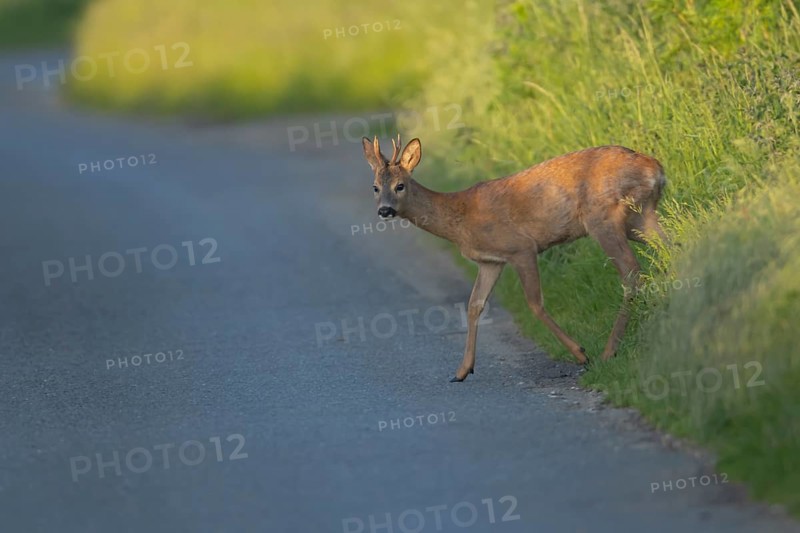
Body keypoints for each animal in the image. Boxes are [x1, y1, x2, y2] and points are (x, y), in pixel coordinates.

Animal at [361, 135, 668, 382]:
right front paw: (462, 370)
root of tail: (656, 169)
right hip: (640, 217)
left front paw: (581, 353)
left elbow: (534, 303)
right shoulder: (491, 260)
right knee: (671, 247)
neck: (459, 220)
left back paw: (608, 352)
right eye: (375, 187)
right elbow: (474, 305)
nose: (385, 210)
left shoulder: (520, 247)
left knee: (631, 272)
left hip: (605, 217)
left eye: (400, 185)